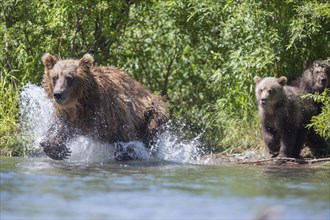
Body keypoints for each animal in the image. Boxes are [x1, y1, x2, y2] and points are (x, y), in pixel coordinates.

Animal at [40, 53, 169, 160]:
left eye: (69, 78)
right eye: (55, 77)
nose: (58, 94)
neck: (81, 102)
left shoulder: (110, 112)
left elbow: (126, 136)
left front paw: (126, 153)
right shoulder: (71, 116)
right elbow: (60, 128)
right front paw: (58, 149)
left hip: (152, 110)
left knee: (151, 129)